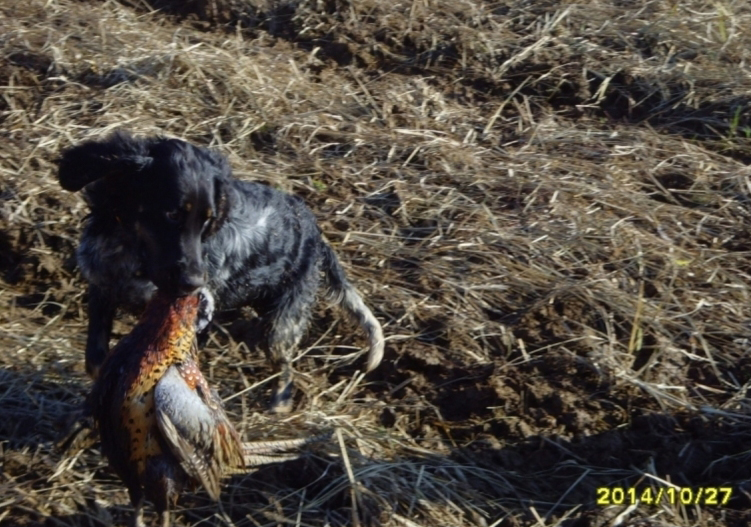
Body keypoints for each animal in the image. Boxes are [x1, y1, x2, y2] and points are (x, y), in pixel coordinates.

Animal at [58, 130, 384, 411]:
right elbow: (96, 359)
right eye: (171, 214)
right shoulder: (101, 287)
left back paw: (279, 403)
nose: (193, 283)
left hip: (283, 324)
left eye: (207, 220)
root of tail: (317, 234)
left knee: (284, 364)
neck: (129, 250)